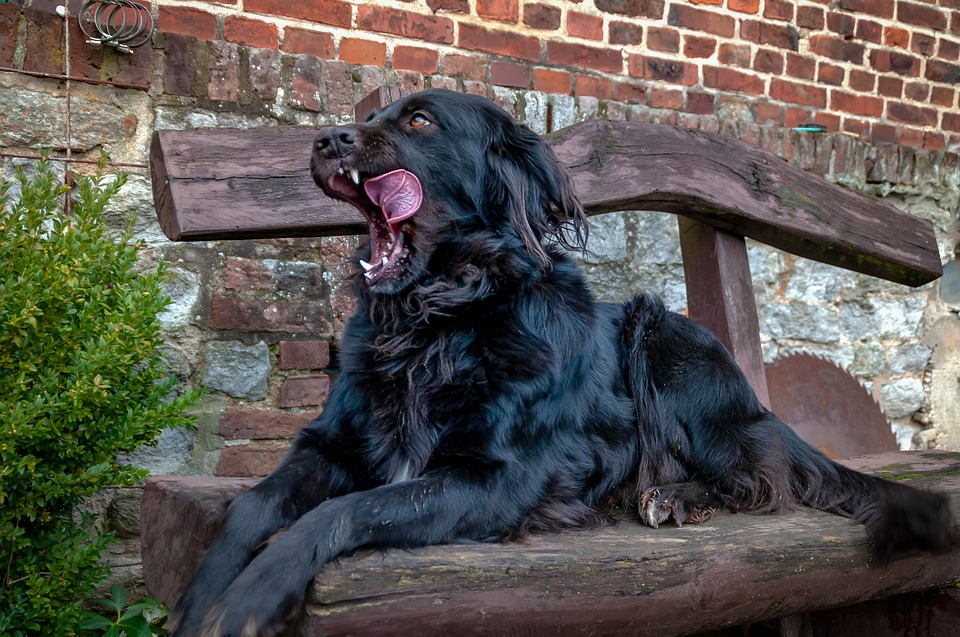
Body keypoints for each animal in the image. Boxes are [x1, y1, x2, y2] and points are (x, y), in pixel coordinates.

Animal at [171, 88, 952, 632]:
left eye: (419, 122)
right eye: (371, 115)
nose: (325, 139)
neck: (437, 322)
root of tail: (757, 403)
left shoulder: (492, 478)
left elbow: (342, 512)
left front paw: (253, 594)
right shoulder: (332, 442)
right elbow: (254, 503)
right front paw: (203, 590)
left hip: (660, 335)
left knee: (759, 479)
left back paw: (671, 496)